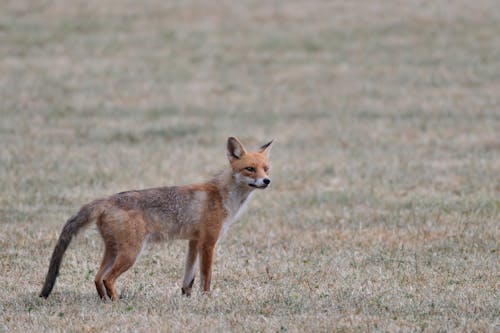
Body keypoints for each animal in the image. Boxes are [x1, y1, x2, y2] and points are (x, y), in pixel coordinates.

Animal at [39, 136, 274, 300]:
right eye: (249, 169)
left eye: (266, 168)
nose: (267, 181)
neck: (223, 196)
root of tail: (106, 200)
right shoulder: (208, 242)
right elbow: (206, 277)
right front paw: (207, 298)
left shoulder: (194, 241)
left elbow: (188, 277)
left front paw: (187, 297)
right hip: (131, 253)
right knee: (107, 278)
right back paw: (117, 302)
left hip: (114, 251)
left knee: (97, 278)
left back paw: (105, 301)